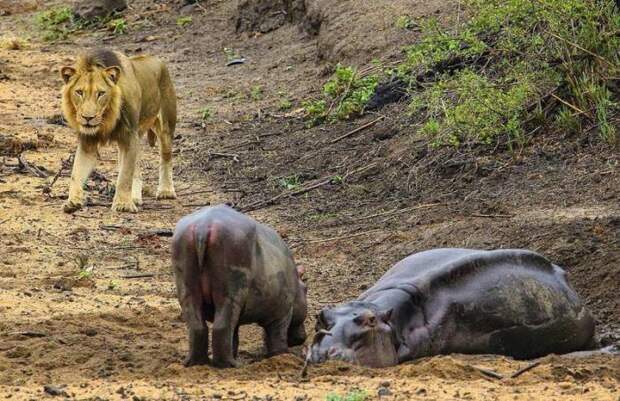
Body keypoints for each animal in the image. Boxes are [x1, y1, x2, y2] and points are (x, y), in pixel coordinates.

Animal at [59, 49, 177, 212]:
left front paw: (123, 204)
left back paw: (166, 191)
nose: (87, 118)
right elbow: (76, 173)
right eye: (79, 92)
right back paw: (135, 198)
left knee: (166, 157)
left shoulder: (129, 137)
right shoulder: (88, 142)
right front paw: (73, 201)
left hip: (165, 126)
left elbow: (125, 176)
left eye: (101, 93)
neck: (107, 118)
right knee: (137, 167)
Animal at [172, 205, 308, 368]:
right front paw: (282, 356)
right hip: (231, 288)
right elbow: (277, 336)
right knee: (222, 327)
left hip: (188, 286)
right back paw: (232, 365)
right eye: (306, 289)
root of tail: (203, 226)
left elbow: (234, 337)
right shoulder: (282, 312)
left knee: (198, 326)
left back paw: (196, 363)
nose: (302, 338)